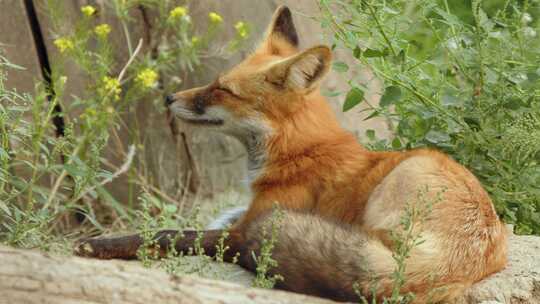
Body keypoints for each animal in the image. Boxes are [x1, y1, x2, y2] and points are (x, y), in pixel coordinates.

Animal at [77, 5, 510, 302]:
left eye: (223, 90)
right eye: (215, 81)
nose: (168, 97)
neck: (297, 151)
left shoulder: (241, 229)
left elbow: (168, 233)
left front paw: (99, 246)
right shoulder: (243, 213)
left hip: (401, 180)